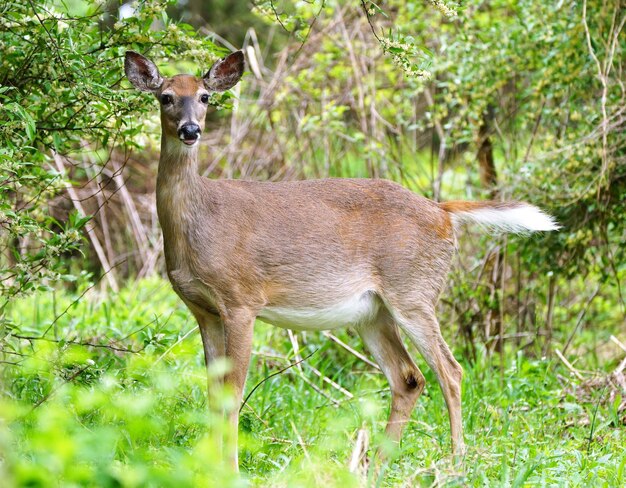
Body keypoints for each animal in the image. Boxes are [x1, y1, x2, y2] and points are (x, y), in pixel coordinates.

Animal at [124, 48, 560, 468]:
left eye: (205, 97)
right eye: (165, 97)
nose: (190, 130)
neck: (199, 223)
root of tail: (443, 211)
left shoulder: (241, 300)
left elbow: (231, 397)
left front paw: (229, 471)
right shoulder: (204, 310)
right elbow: (213, 399)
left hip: (413, 291)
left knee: (450, 371)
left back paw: (455, 464)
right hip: (373, 312)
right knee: (409, 377)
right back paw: (374, 466)